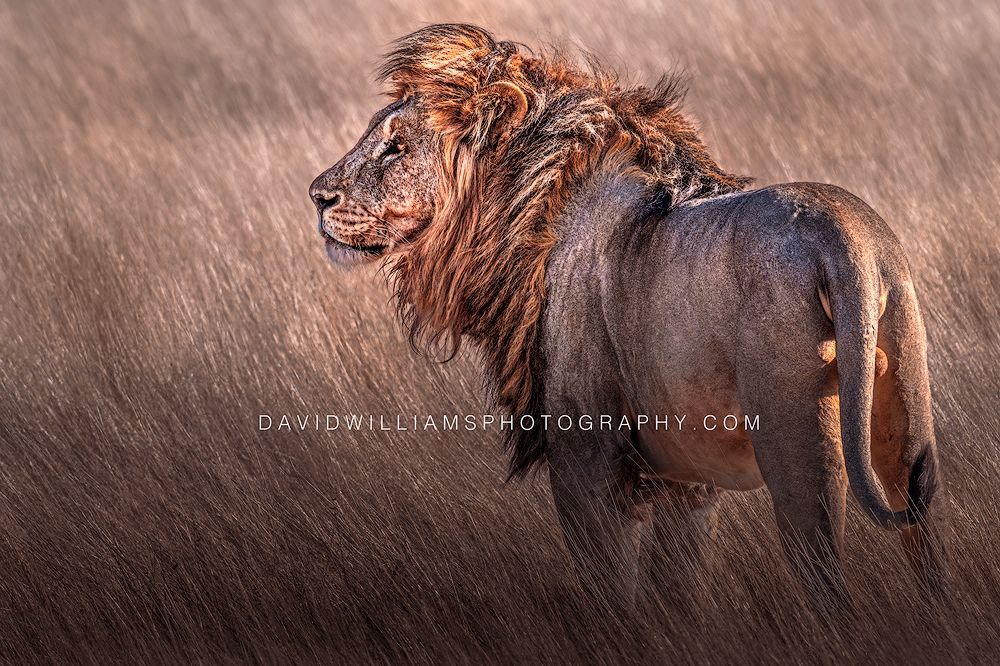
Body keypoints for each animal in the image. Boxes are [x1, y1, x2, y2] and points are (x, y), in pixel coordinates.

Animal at [308, 23, 945, 610]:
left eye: (395, 147)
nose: (317, 196)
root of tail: (845, 234)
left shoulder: (587, 465)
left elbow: (612, 597)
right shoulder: (686, 480)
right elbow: (676, 595)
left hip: (796, 436)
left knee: (826, 579)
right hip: (905, 420)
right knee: (922, 525)